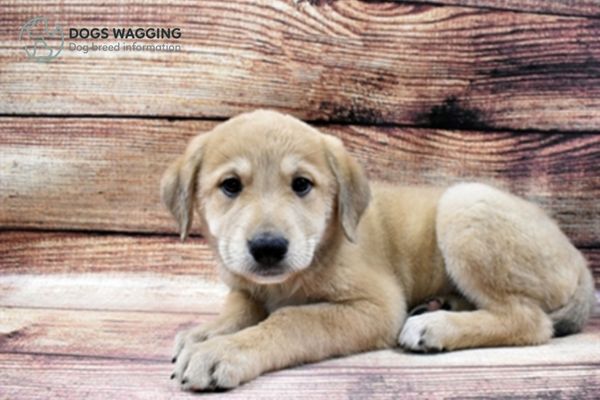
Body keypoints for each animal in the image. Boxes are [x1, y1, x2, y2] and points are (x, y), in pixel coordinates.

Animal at [161, 109, 596, 390]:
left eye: (301, 185)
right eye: (230, 186)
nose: (268, 248)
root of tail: (580, 262)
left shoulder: (376, 306)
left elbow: (292, 320)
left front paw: (225, 350)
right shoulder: (245, 286)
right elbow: (239, 307)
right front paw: (205, 332)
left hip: (464, 204)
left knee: (529, 320)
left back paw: (435, 325)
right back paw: (440, 306)